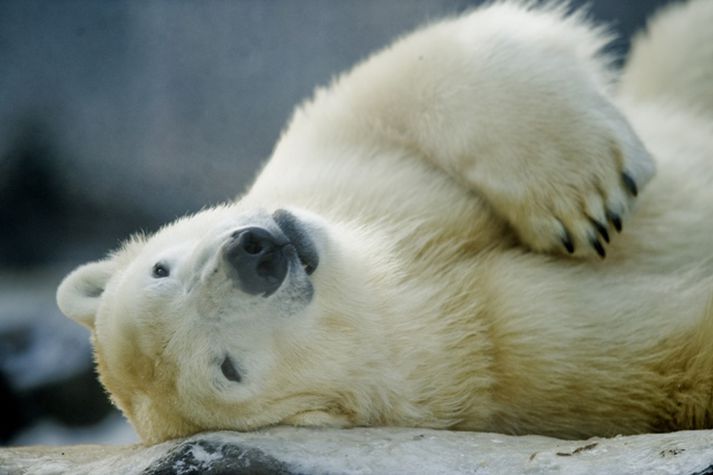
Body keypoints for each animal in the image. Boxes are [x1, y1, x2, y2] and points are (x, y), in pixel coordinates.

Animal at [55, 0, 712, 444]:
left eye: (160, 270)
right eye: (227, 368)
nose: (255, 251)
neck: (390, 268)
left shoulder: (342, 158)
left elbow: (421, 69)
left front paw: (584, 197)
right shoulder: (492, 354)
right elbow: (662, 354)